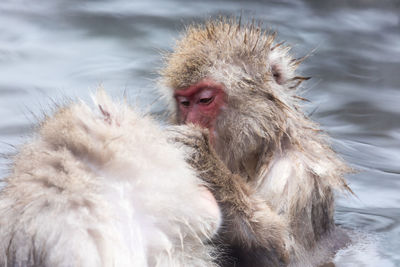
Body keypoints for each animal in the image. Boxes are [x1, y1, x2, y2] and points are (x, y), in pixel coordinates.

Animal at [161, 18, 352, 266]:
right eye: (184, 102)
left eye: (204, 100)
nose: (190, 121)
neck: (257, 153)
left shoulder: (298, 176)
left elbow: (289, 255)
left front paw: (204, 161)